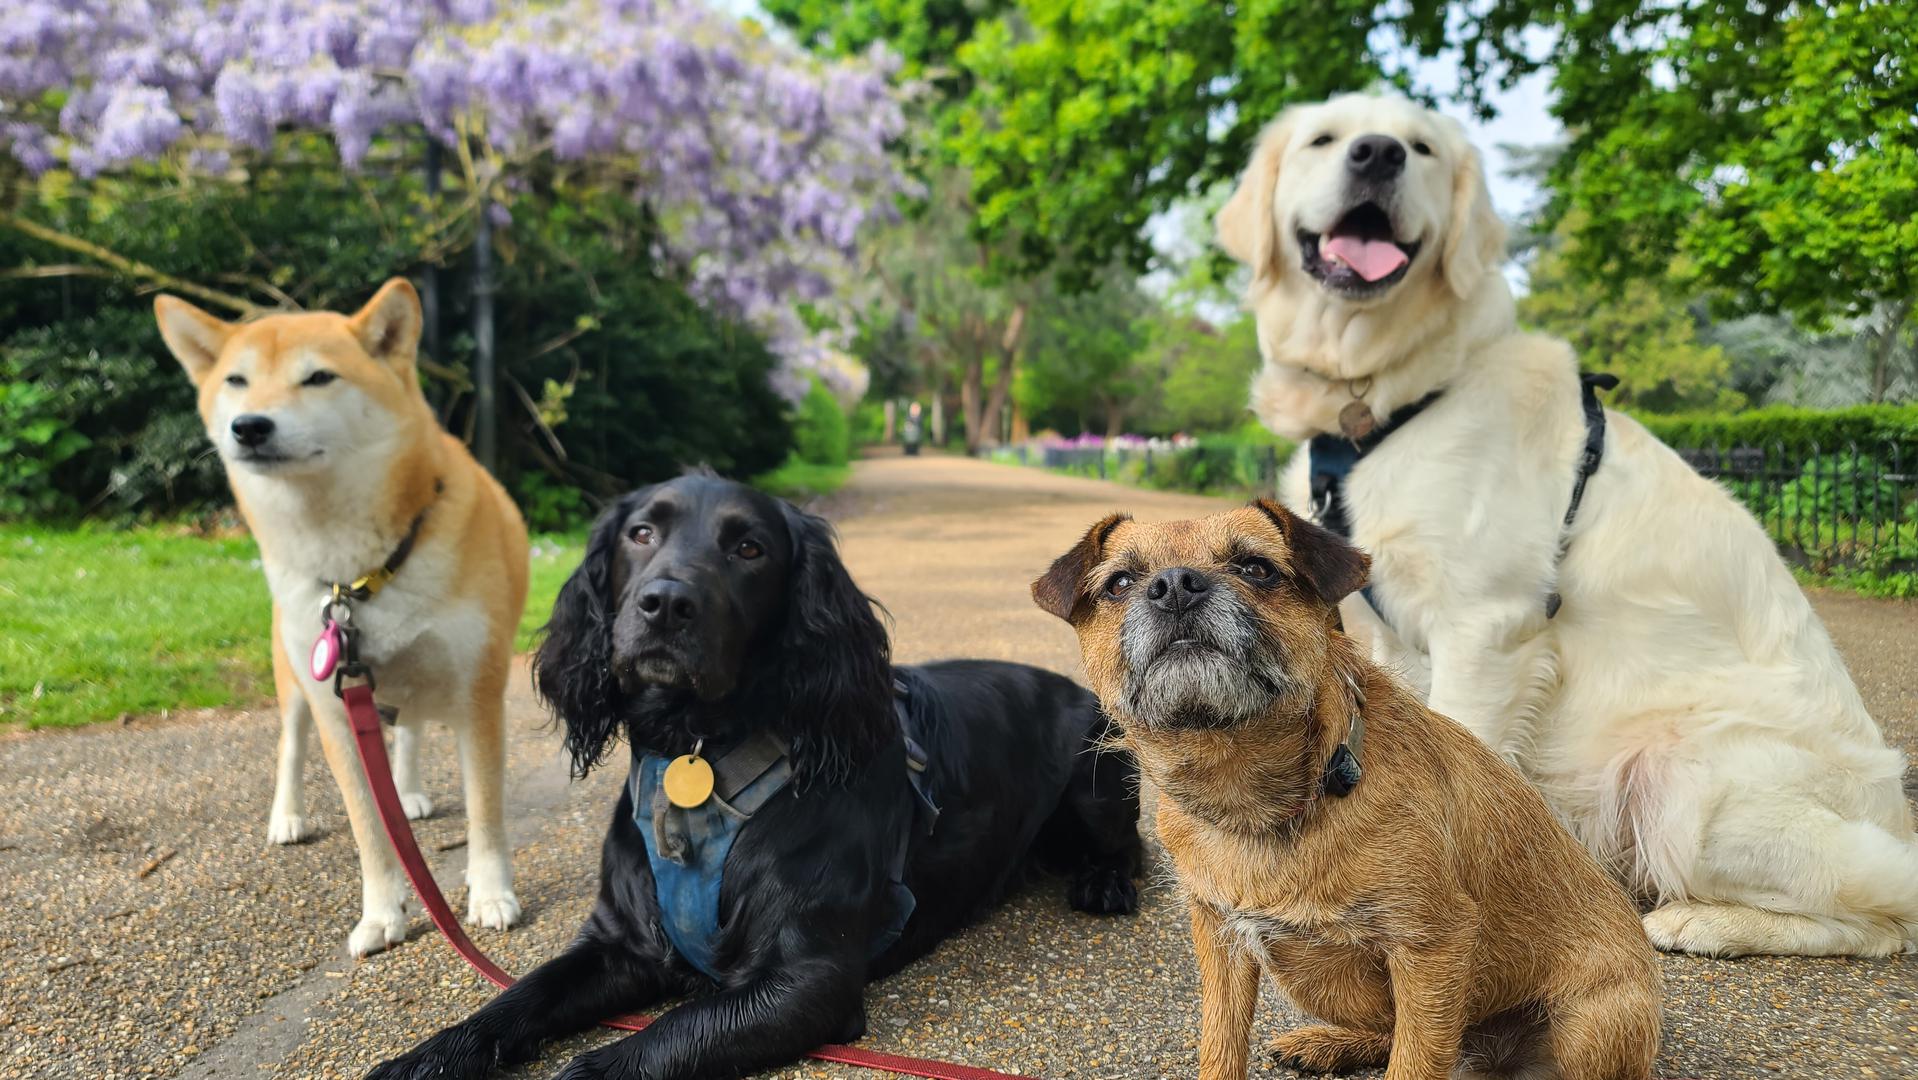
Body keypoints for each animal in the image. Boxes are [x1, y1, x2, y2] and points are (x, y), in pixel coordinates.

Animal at [156, 278, 529, 955]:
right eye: (237, 380)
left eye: (319, 377)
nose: (249, 427)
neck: (356, 575)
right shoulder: (334, 705)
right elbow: (367, 827)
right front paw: (382, 913)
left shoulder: (480, 692)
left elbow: (486, 812)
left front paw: (491, 894)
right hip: (295, 686)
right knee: (290, 749)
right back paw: (288, 816)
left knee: (407, 732)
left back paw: (407, 790)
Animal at [1035, 502, 1664, 1080]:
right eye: (1120, 582)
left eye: (1257, 568)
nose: (1174, 586)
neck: (1262, 795)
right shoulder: (1220, 938)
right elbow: (1221, 1043)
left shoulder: (1433, 949)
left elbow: (1415, 1063)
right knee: (1398, 1033)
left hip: (1592, 1023)